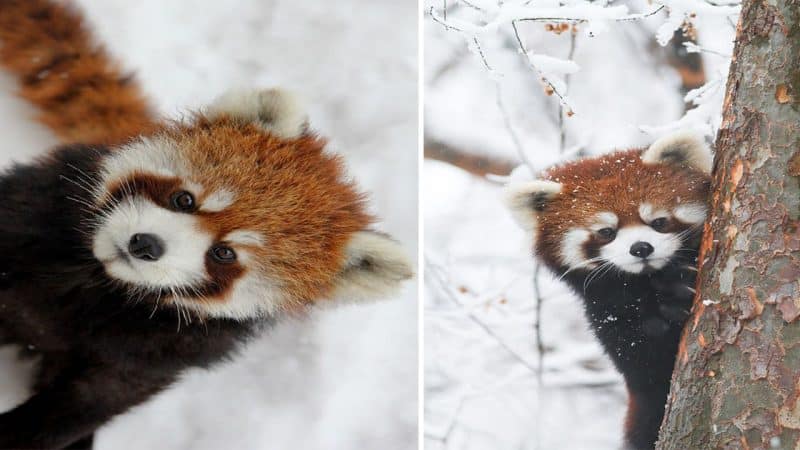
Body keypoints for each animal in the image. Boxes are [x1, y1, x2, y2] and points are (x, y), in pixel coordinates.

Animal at [0, 1, 412, 448]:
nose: (146, 244)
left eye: (224, 253)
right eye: (184, 199)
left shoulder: (159, 353)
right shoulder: (29, 213)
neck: (98, 284)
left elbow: (86, 404)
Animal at [506, 133, 712, 450]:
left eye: (658, 221)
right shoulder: (606, 314)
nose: (641, 248)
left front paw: (677, 286)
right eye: (606, 232)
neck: (647, 282)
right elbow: (646, 363)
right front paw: (674, 294)